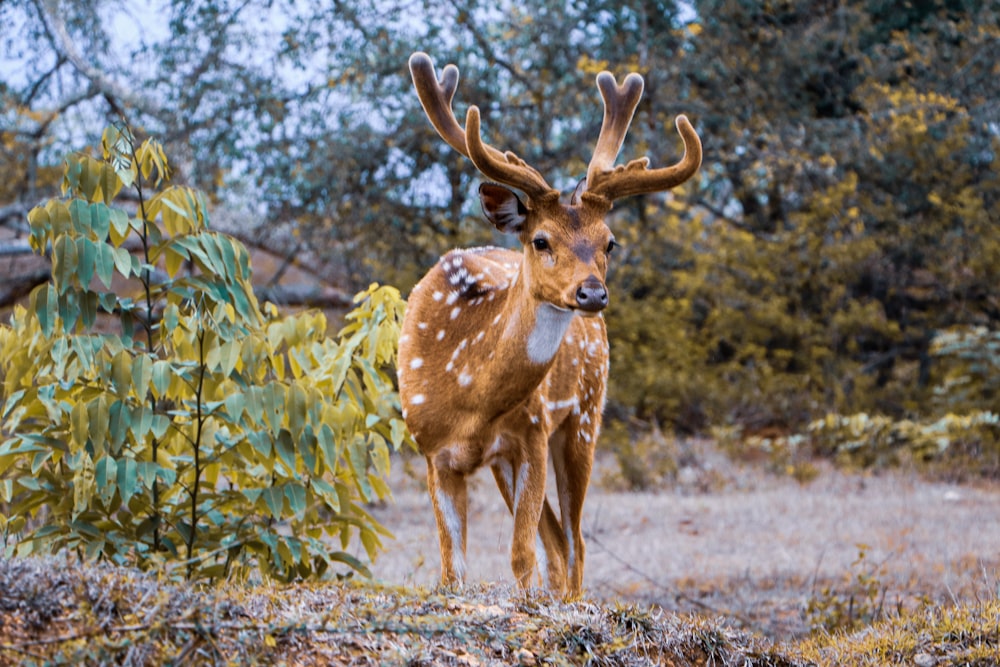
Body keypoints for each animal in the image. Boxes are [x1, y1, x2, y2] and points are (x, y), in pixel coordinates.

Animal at [394, 51, 700, 596]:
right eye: (541, 240)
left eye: (609, 242)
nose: (591, 293)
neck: (468, 394)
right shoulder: (432, 450)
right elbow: (454, 570)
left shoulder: (531, 436)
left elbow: (521, 558)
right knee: (559, 545)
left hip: (585, 415)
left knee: (573, 544)